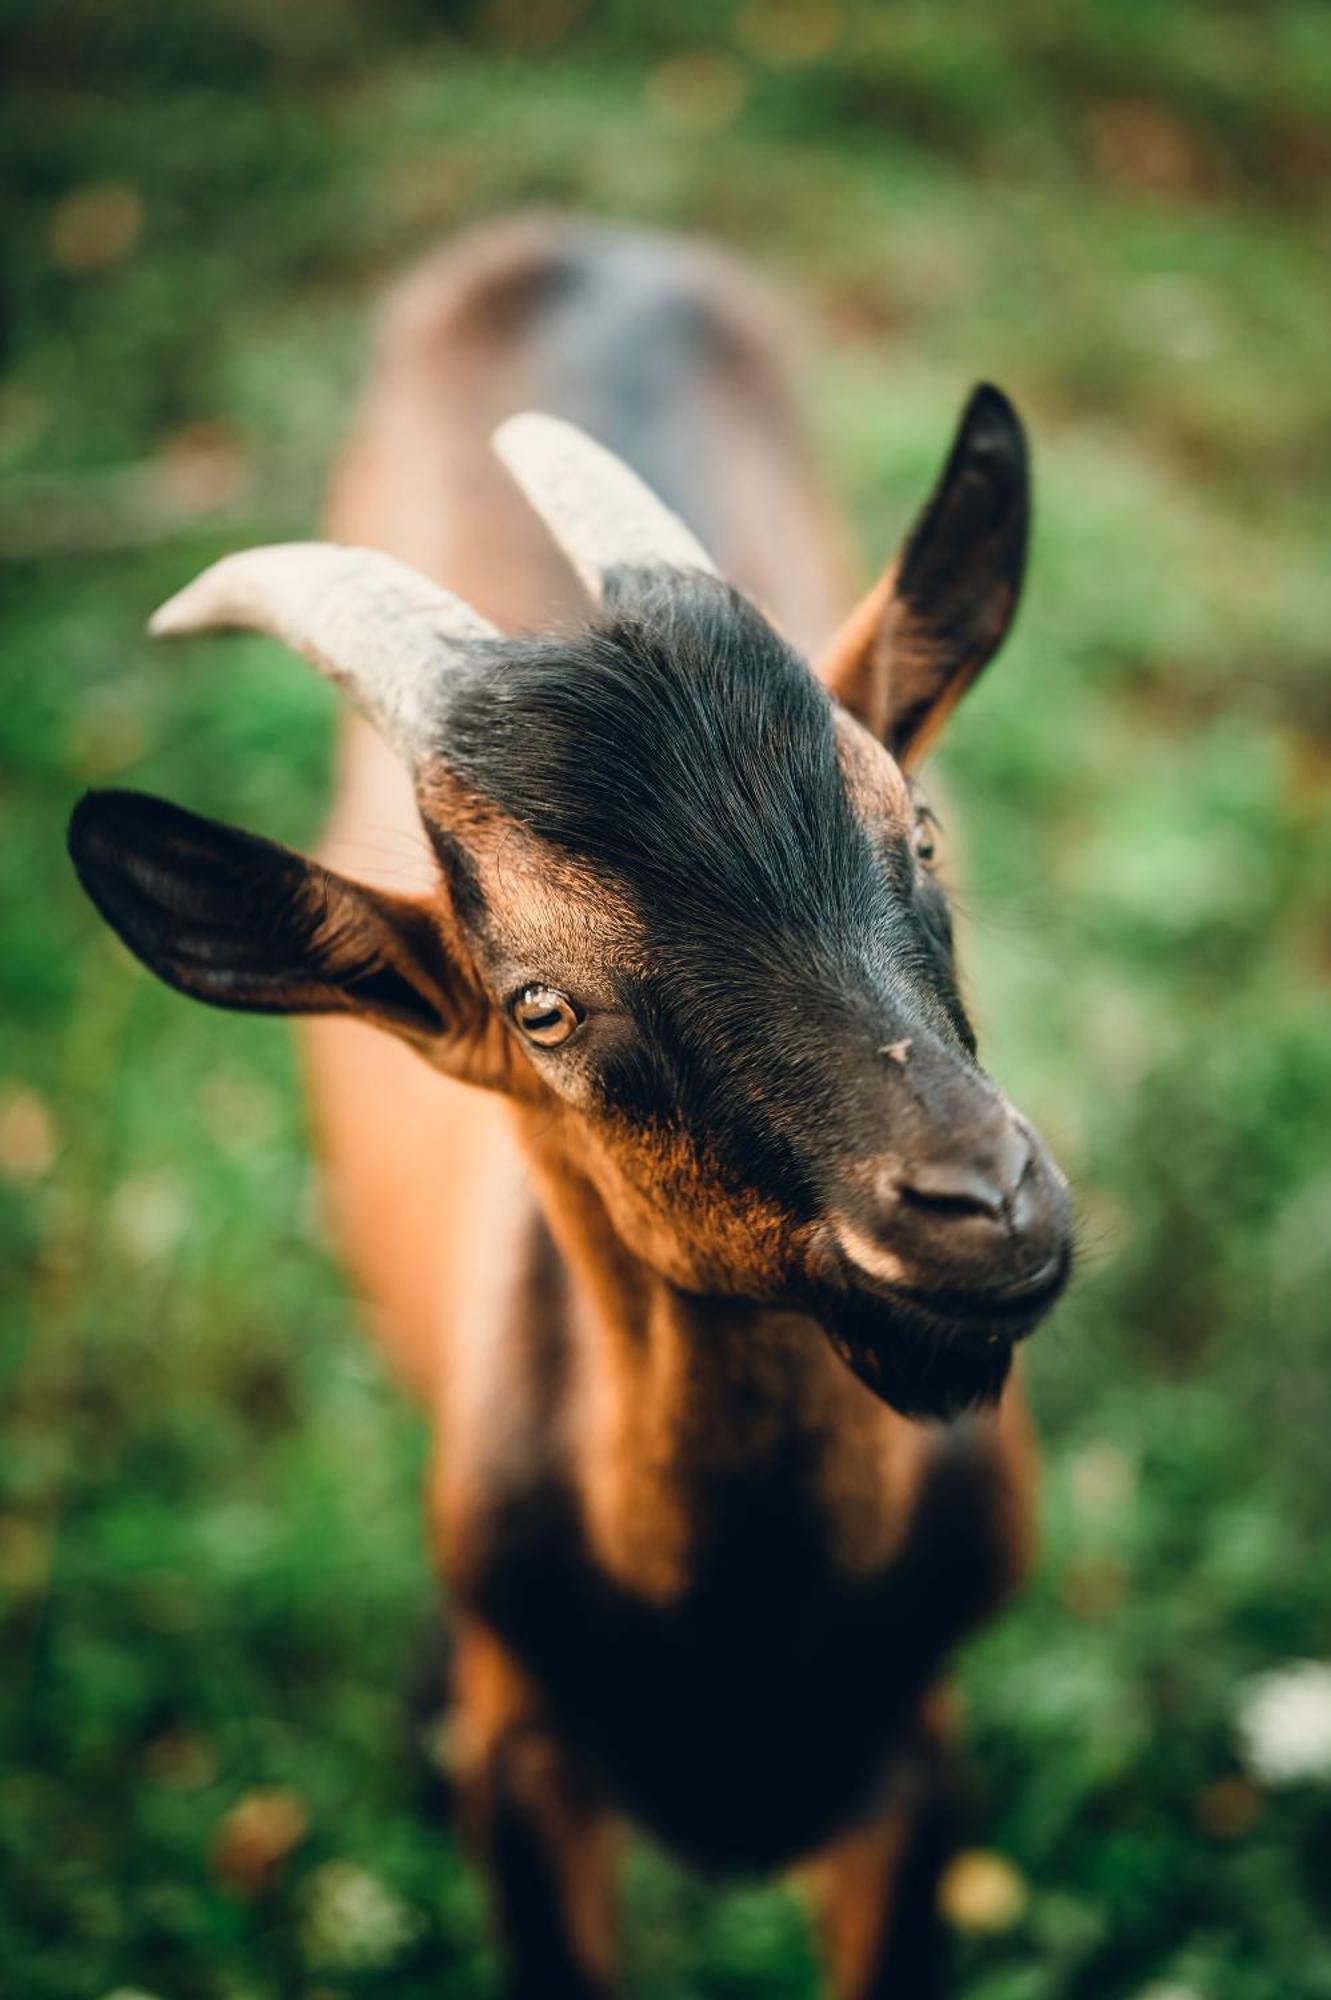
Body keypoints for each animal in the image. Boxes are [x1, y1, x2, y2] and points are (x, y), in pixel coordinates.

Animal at [69, 219, 1071, 2000]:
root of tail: (568, 238)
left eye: (917, 825)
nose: (984, 1207)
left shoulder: (914, 1765)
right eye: (539, 1003)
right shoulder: (525, 1775)